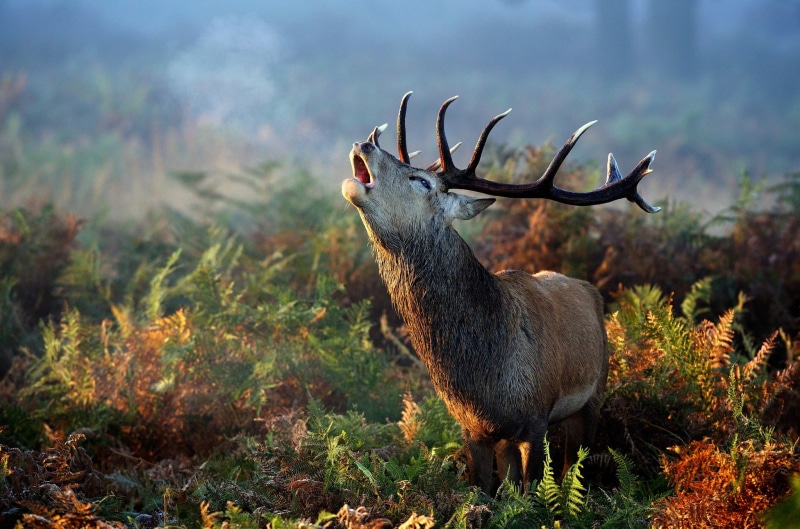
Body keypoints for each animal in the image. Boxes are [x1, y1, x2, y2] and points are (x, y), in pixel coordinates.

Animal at [341, 92, 660, 494]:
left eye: (422, 181)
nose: (364, 143)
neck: (483, 378)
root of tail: (590, 290)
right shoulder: (471, 428)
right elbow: (485, 490)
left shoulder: (537, 417)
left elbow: (536, 488)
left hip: (594, 394)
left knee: (574, 466)